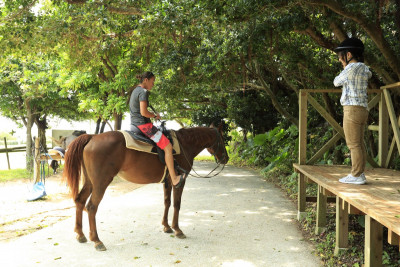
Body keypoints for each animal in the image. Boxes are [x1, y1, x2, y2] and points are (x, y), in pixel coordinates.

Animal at [62, 125, 228, 251]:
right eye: (223, 139)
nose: (226, 158)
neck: (184, 144)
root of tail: (92, 137)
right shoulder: (179, 181)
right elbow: (176, 204)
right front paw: (177, 229)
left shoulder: (167, 181)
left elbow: (167, 202)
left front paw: (166, 227)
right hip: (101, 182)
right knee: (91, 207)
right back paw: (97, 240)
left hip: (90, 182)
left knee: (80, 201)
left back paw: (80, 234)